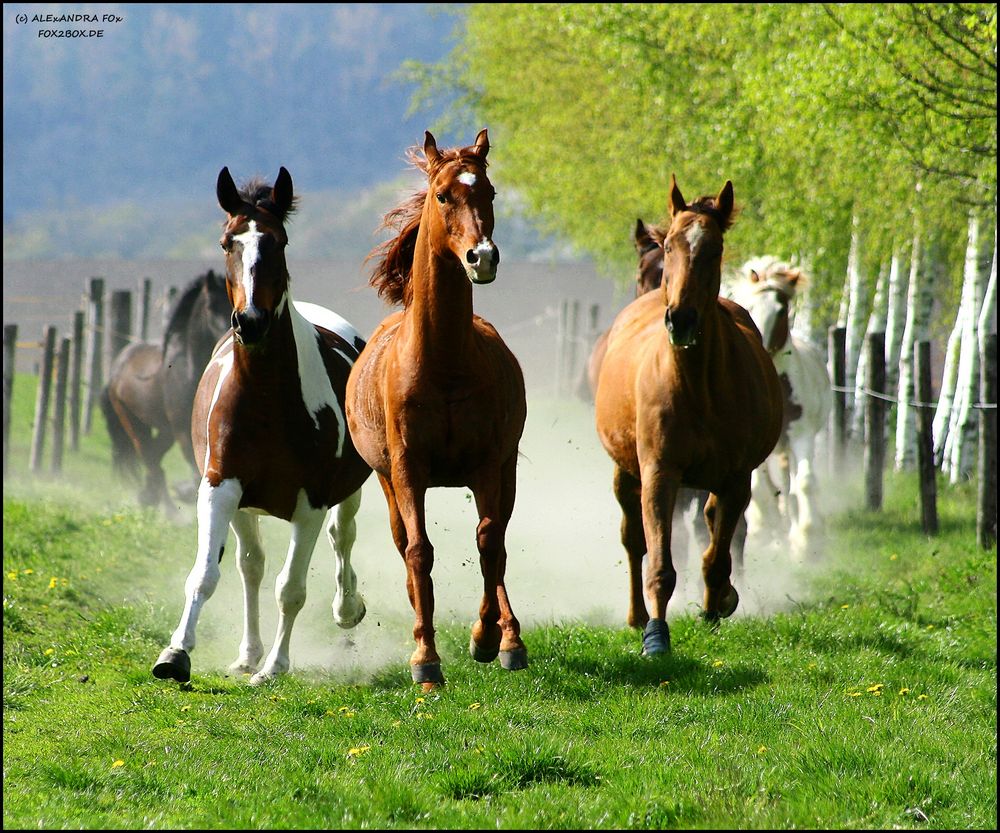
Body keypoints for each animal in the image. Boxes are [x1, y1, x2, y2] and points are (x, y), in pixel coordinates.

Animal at [101, 270, 230, 510]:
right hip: (134, 423)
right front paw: (185, 492)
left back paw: (149, 497)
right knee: (151, 460)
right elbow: (194, 466)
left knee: (155, 459)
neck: (190, 370)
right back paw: (169, 509)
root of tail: (116, 367)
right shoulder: (183, 430)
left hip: (164, 431)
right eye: (210, 306)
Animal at [154, 166, 374, 684]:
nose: (250, 321)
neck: (267, 400)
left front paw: (275, 667)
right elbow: (207, 576)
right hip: (244, 507)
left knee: (342, 537)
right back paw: (247, 651)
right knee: (250, 566)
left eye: (279, 241)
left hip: (347, 491)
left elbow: (291, 588)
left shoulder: (310, 504)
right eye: (227, 242)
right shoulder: (220, 487)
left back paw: (345, 609)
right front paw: (176, 653)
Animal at [346, 128, 532, 688]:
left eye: (489, 192)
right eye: (444, 195)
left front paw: (488, 638)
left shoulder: (489, 464)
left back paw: (510, 639)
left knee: (498, 544)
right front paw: (425, 659)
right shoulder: (408, 470)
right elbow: (419, 551)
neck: (442, 363)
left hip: (505, 472)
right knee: (407, 546)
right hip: (389, 483)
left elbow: (489, 542)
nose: (482, 257)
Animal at [592, 177, 780, 656]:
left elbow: (716, 554)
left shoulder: (736, 478)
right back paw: (638, 616)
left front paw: (716, 605)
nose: (681, 319)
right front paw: (657, 636)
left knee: (716, 529)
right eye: (671, 245)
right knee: (634, 541)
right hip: (626, 473)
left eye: (714, 248)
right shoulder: (660, 473)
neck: (698, 385)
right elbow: (659, 558)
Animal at [732, 256, 832, 564]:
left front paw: (808, 541)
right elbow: (758, 488)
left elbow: (805, 483)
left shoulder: (801, 436)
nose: (759, 351)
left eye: (781, 309)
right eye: (748, 307)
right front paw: (764, 530)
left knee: (791, 486)